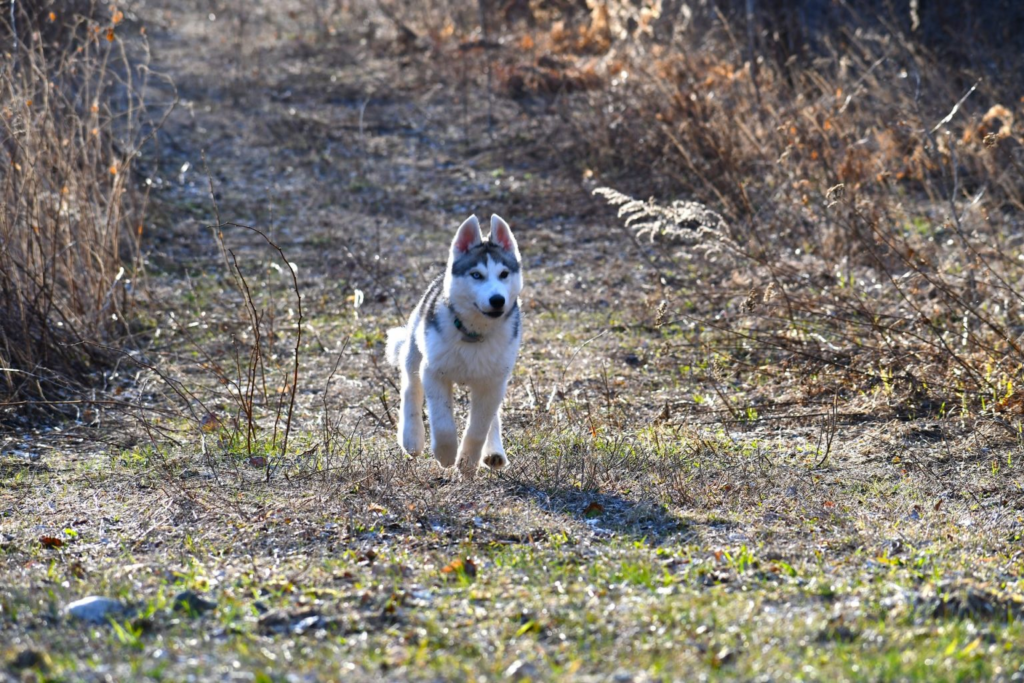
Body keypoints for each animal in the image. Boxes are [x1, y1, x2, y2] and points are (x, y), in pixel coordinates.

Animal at [385, 214, 524, 481]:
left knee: (492, 416)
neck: (474, 335)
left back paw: (493, 452)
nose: (497, 300)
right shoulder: (434, 372)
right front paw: (446, 454)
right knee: (410, 388)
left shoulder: (493, 382)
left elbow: (480, 425)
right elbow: (442, 421)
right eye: (476, 275)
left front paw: (468, 462)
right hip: (415, 349)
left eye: (504, 274)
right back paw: (411, 438)